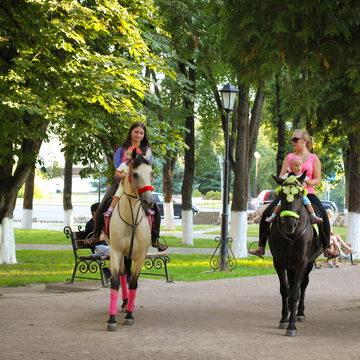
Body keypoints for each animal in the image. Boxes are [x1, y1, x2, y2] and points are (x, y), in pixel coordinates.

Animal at [105, 148, 154, 330]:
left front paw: (130, 316)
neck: (131, 219)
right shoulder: (115, 251)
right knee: (122, 274)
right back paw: (124, 303)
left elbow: (134, 283)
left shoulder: (140, 255)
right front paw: (111, 320)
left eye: (152, 173)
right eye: (135, 174)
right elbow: (114, 282)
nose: (149, 202)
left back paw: (128, 305)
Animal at [268, 173, 322, 336]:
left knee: (302, 286)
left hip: (308, 264)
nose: (289, 224)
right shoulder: (279, 263)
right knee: (292, 286)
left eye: (298, 195)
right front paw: (284, 319)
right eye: (281, 195)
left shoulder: (301, 263)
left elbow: (295, 294)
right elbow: (285, 290)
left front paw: (292, 326)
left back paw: (300, 313)